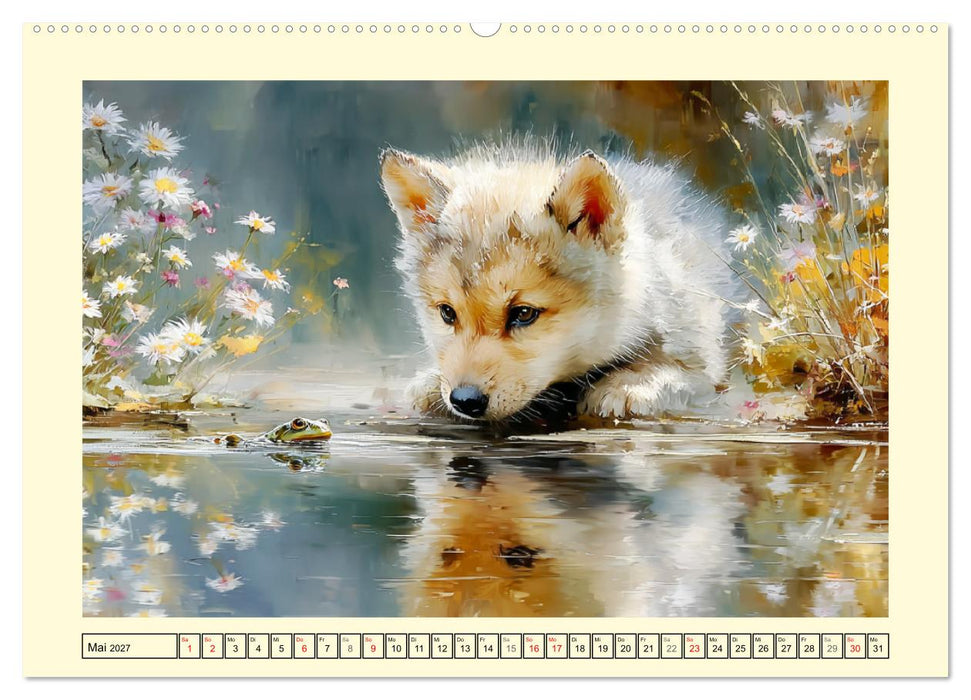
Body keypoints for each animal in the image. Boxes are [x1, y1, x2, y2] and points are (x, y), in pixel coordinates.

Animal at [380, 142, 738, 422]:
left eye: (524, 314)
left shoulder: (703, 356)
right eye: (447, 313)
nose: (465, 400)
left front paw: (627, 384)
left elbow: (677, 371)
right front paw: (430, 382)